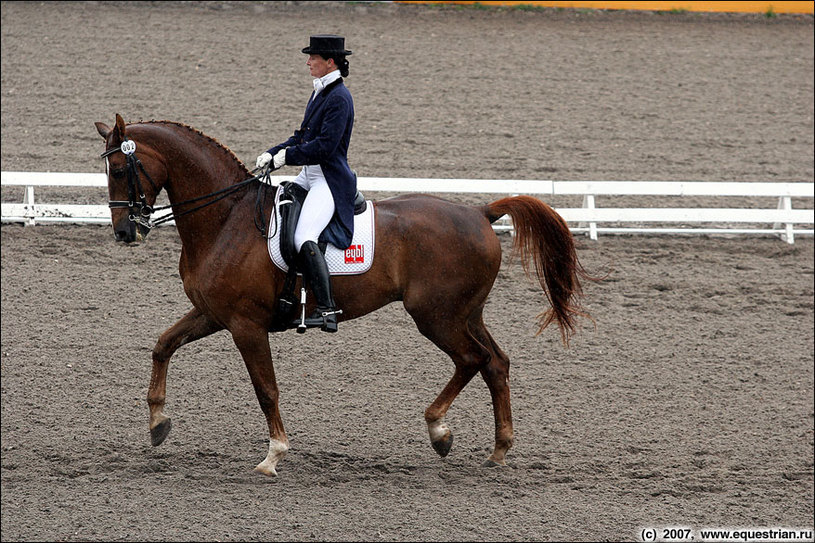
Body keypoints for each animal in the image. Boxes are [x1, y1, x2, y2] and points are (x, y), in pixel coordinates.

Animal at [95, 113, 592, 476]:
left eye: (119, 169)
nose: (123, 233)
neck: (226, 218)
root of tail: (480, 212)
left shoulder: (246, 325)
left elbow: (266, 389)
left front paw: (274, 455)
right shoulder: (213, 314)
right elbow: (163, 345)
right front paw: (158, 424)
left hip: (436, 316)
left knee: (473, 359)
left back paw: (440, 431)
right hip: (466, 313)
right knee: (496, 363)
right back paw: (499, 449)